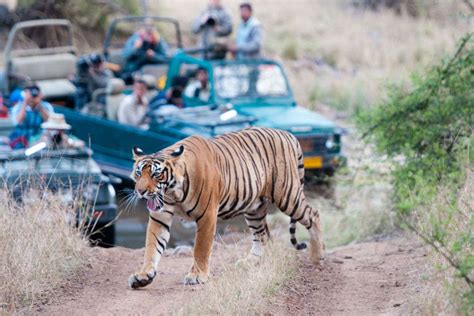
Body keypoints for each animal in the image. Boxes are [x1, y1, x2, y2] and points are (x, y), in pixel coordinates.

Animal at [128, 126, 324, 288]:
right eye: (138, 174)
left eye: (156, 175)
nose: (140, 191)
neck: (172, 192)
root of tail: (287, 134)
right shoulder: (160, 217)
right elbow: (152, 246)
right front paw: (143, 275)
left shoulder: (207, 216)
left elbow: (201, 248)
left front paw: (197, 275)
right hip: (254, 208)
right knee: (261, 235)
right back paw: (250, 262)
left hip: (287, 195)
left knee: (313, 214)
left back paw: (318, 256)